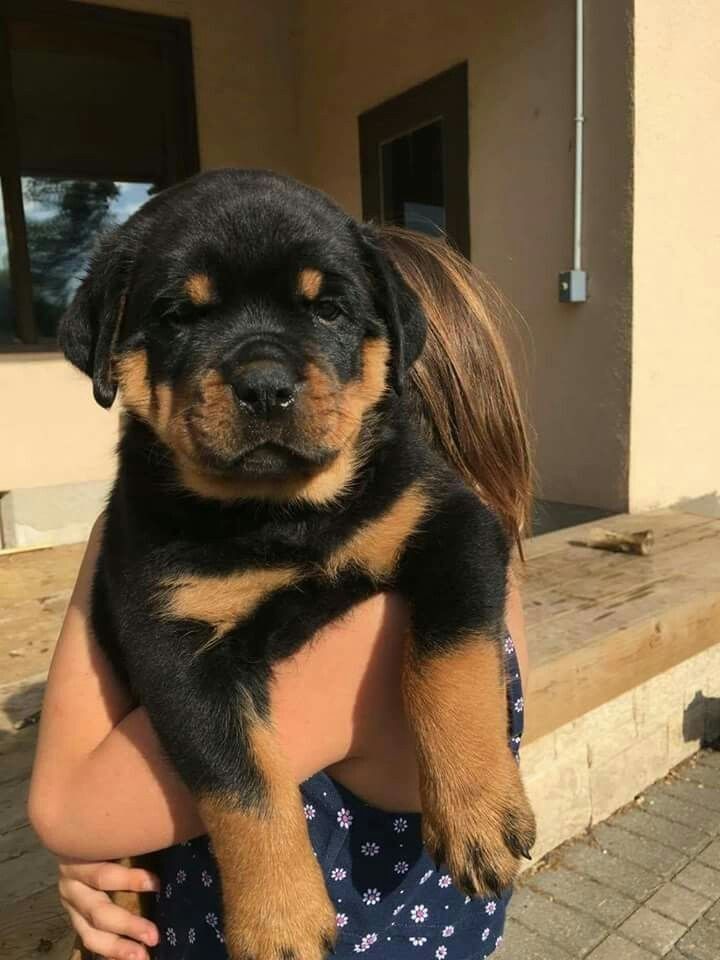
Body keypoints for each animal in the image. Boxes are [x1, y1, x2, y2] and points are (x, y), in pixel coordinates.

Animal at [60, 171, 536, 960]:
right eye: (179, 316)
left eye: (328, 308)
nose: (264, 386)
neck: (281, 516)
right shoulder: (174, 645)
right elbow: (242, 782)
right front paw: (278, 920)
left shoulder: (450, 523)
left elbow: (450, 664)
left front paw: (477, 812)